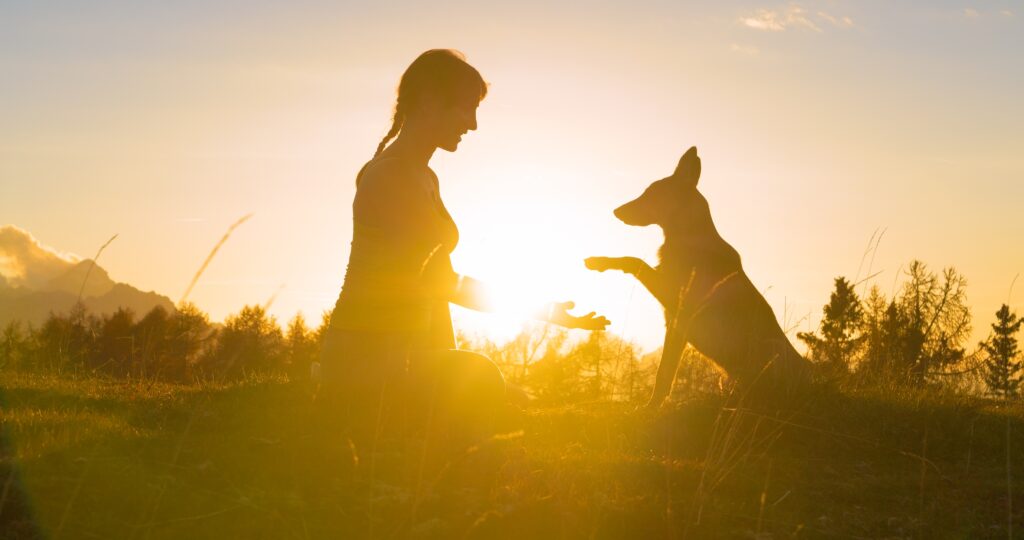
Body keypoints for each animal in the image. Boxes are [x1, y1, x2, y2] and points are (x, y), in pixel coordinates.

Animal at [589, 145, 811, 407]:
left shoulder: (677, 302)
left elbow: (634, 261)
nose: (616, 211)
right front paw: (652, 406)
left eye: (651, 193)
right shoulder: (675, 325)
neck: (689, 238)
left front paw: (600, 261)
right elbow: (664, 372)